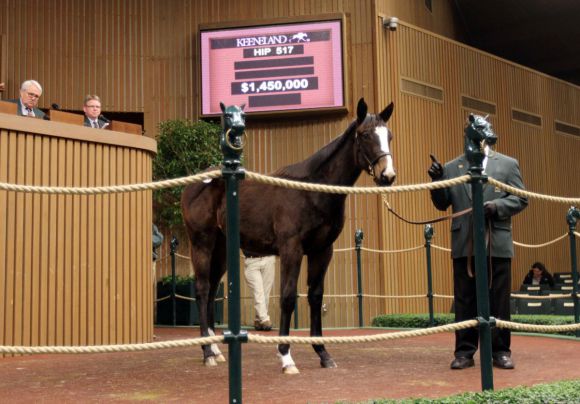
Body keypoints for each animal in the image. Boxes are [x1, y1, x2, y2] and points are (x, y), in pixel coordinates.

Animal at [182, 97, 394, 372]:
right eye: (366, 135)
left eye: (389, 136)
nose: (387, 175)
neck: (311, 190)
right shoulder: (291, 249)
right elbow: (288, 297)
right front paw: (285, 355)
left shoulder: (322, 250)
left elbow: (315, 296)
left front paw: (323, 353)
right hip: (202, 242)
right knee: (202, 289)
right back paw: (207, 351)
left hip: (221, 248)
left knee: (210, 292)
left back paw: (215, 350)